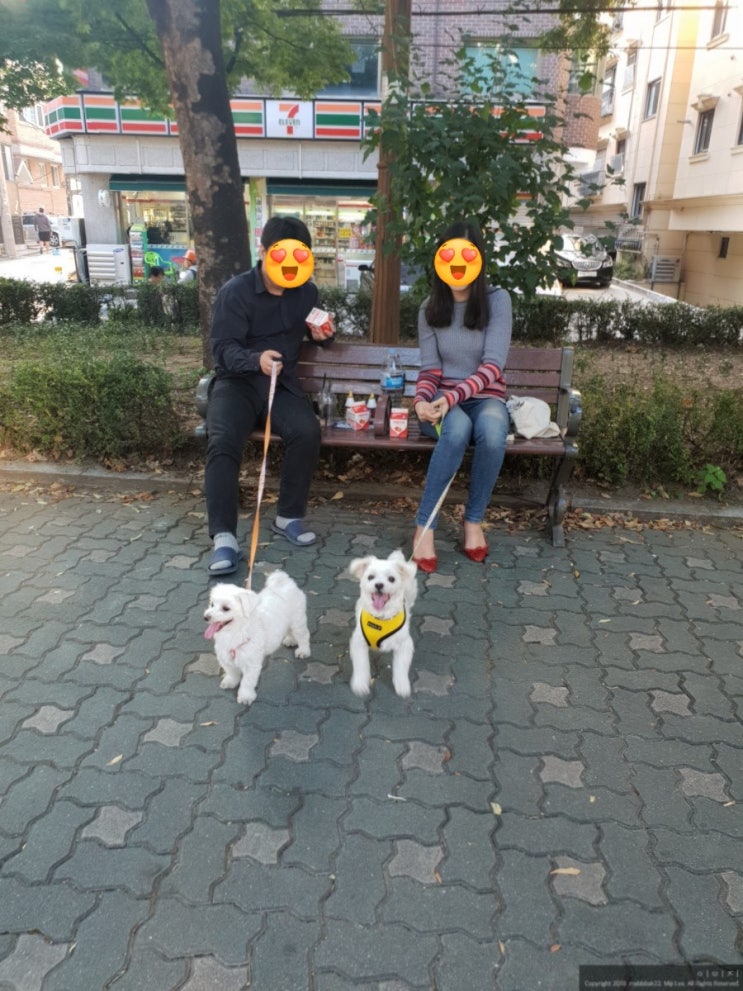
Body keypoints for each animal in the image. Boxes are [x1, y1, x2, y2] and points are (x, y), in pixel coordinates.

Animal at [203, 571, 310, 705]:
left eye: (226, 608)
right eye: (212, 604)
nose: (206, 617)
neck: (235, 632)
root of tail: (285, 582)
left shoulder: (251, 664)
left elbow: (247, 682)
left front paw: (245, 696)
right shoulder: (225, 658)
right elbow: (232, 672)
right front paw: (230, 681)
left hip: (297, 621)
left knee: (303, 635)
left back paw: (303, 650)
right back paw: (291, 640)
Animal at [348, 549, 418, 698]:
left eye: (391, 579)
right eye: (370, 577)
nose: (379, 585)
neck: (381, 618)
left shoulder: (404, 644)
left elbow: (401, 667)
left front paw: (402, 685)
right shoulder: (359, 642)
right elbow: (361, 664)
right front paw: (360, 684)